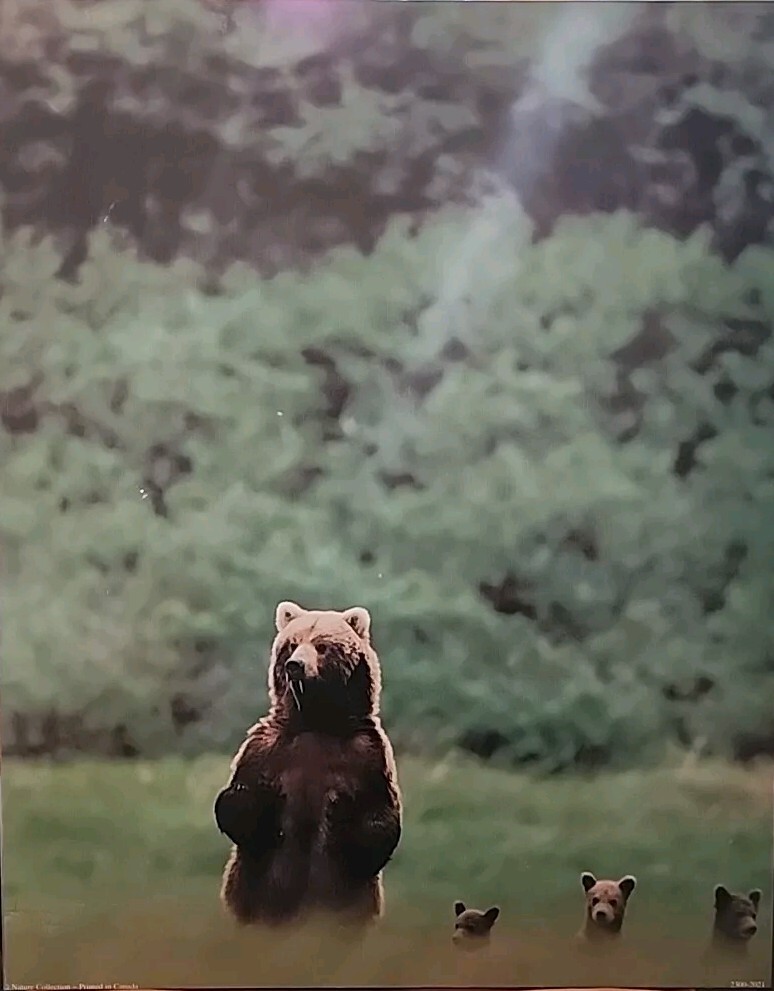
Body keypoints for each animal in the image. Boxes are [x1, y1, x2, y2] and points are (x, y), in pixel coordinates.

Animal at [214, 601, 402, 928]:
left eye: (322, 645)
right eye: (292, 644)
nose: (295, 665)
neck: (317, 721)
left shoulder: (368, 756)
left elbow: (380, 821)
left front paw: (342, 810)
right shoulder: (267, 749)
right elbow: (238, 808)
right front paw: (258, 799)